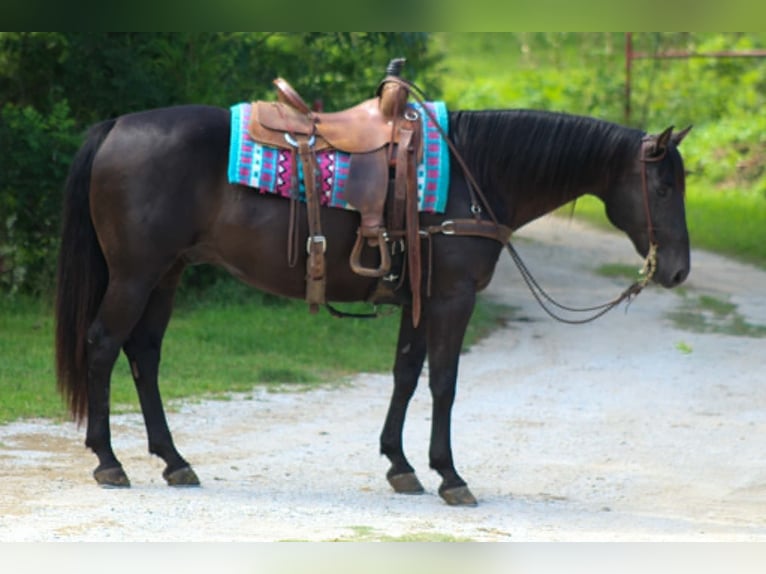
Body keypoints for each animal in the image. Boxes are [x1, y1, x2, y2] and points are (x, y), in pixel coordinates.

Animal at [54, 101, 691, 506]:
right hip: (136, 274)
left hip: (166, 274)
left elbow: (405, 375)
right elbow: (443, 383)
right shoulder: (452, 299)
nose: (679, 270)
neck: (475, 175)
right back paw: (108, 461)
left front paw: (400, 465)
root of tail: (115, 126)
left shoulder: (419, 299)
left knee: (144, 355)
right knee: (103, 346)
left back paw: (174, 460)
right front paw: (450, 475)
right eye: (663, 187)